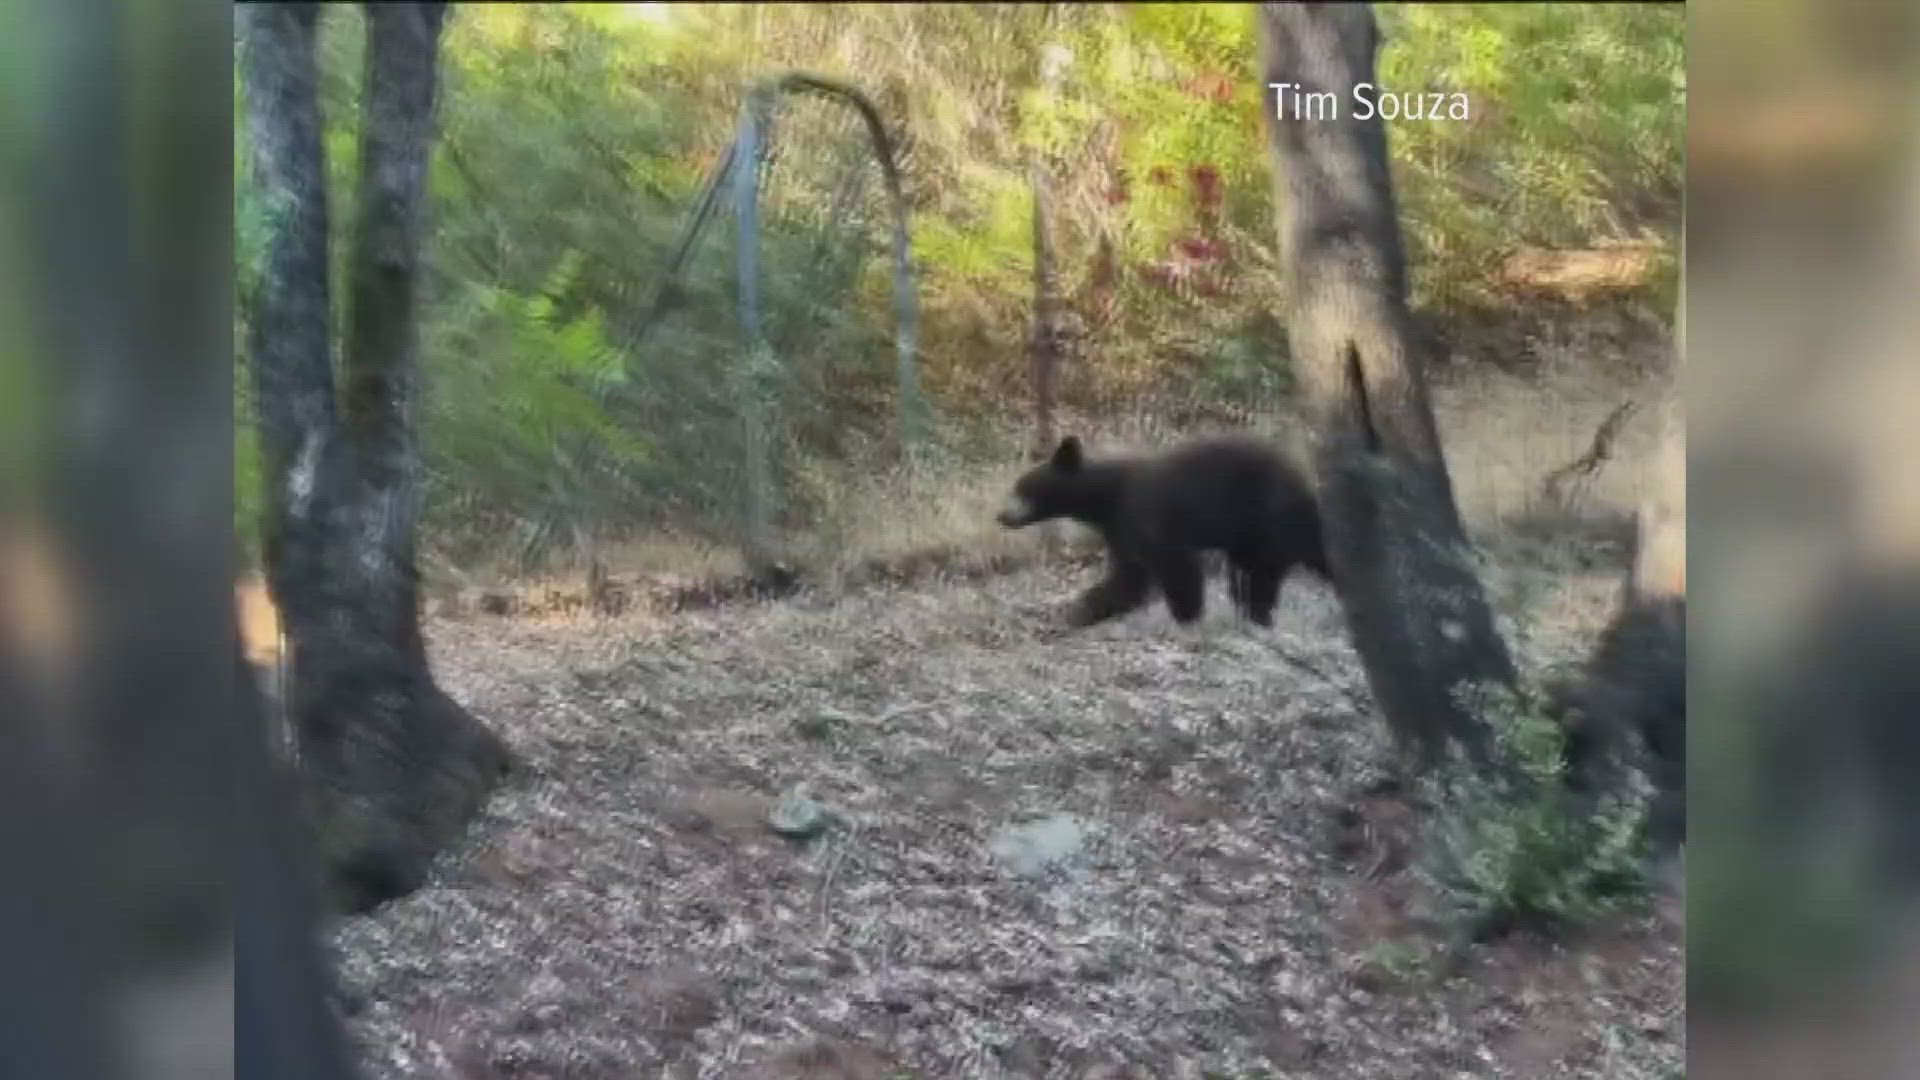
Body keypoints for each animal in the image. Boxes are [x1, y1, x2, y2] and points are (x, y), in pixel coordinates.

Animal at [998, 432, 1328, 626]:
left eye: (1022, 490)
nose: (1001, 515)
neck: (1107, 496)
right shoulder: (1119, 530)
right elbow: (1127, 576)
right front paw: (1080, 611)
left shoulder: (1147, 515)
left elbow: (1175, 565)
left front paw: (1187, 615)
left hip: (1268, 517)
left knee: (1263, 573)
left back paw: (1258, 613)